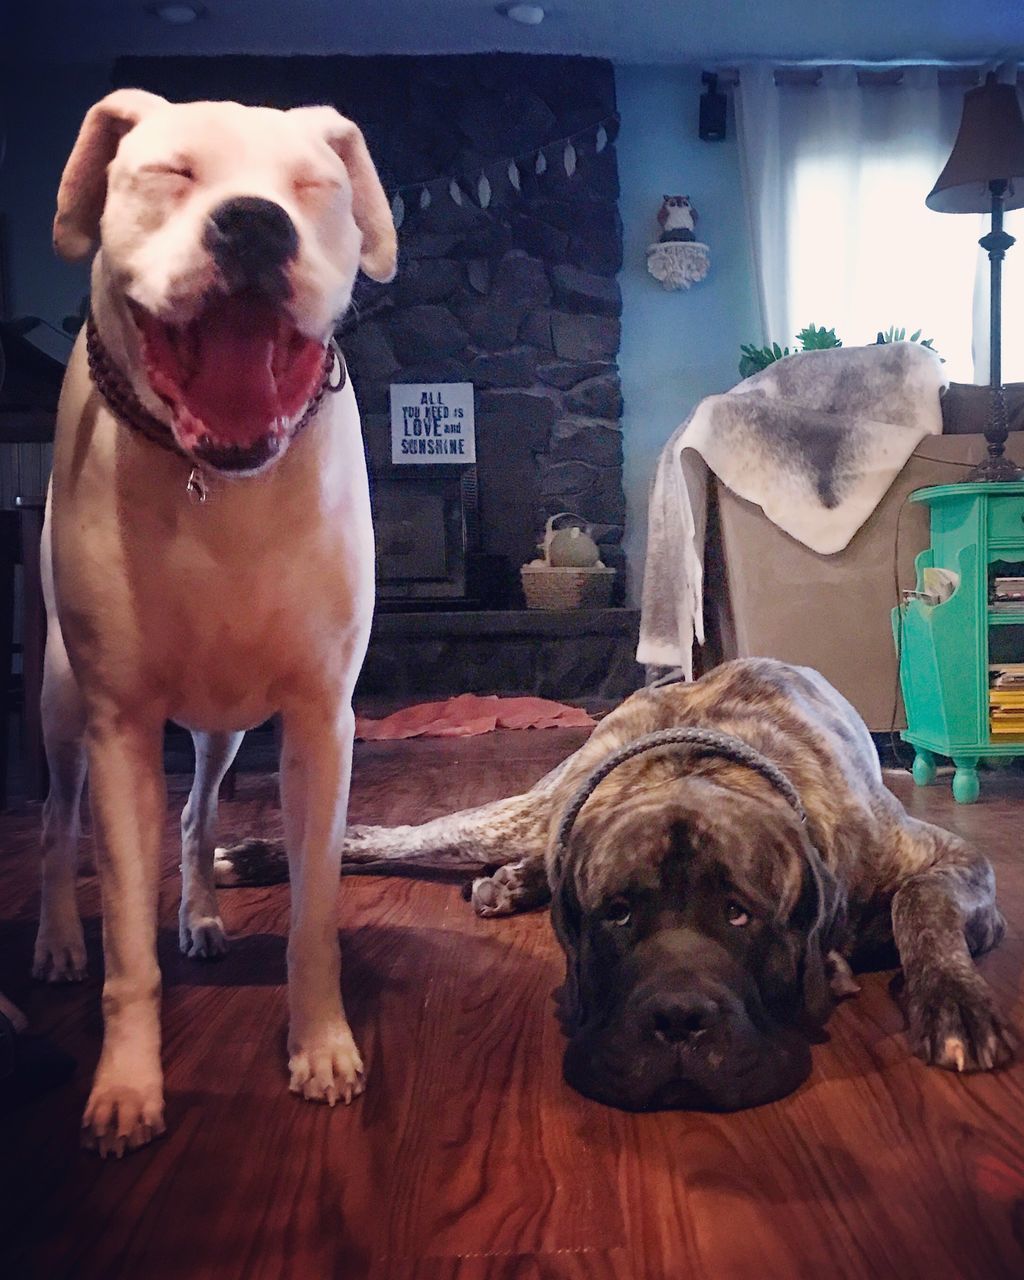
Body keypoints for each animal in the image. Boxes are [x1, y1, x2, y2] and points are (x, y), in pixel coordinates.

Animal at [35, 92, 396, 1162]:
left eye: (315, 187)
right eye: (172, 174)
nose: (254, 224)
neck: (221, 481)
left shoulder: (319, 722)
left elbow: (313, 914)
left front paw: (321, 1049)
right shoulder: (120, 729)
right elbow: (125, 937)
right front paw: (125, 1088)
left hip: (226, 728)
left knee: (198, 816)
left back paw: (198, 913)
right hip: (62, 712)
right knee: (56, 823)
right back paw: (53, 941)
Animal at [212, 660, 1013, 1111]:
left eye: (741, 914)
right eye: (617, 914)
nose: (679, 1019)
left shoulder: (951, 859)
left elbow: (920, 906)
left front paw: (954, 1003)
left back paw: (514, 882)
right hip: (522, 812)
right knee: (385, 837)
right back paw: (256, 856)